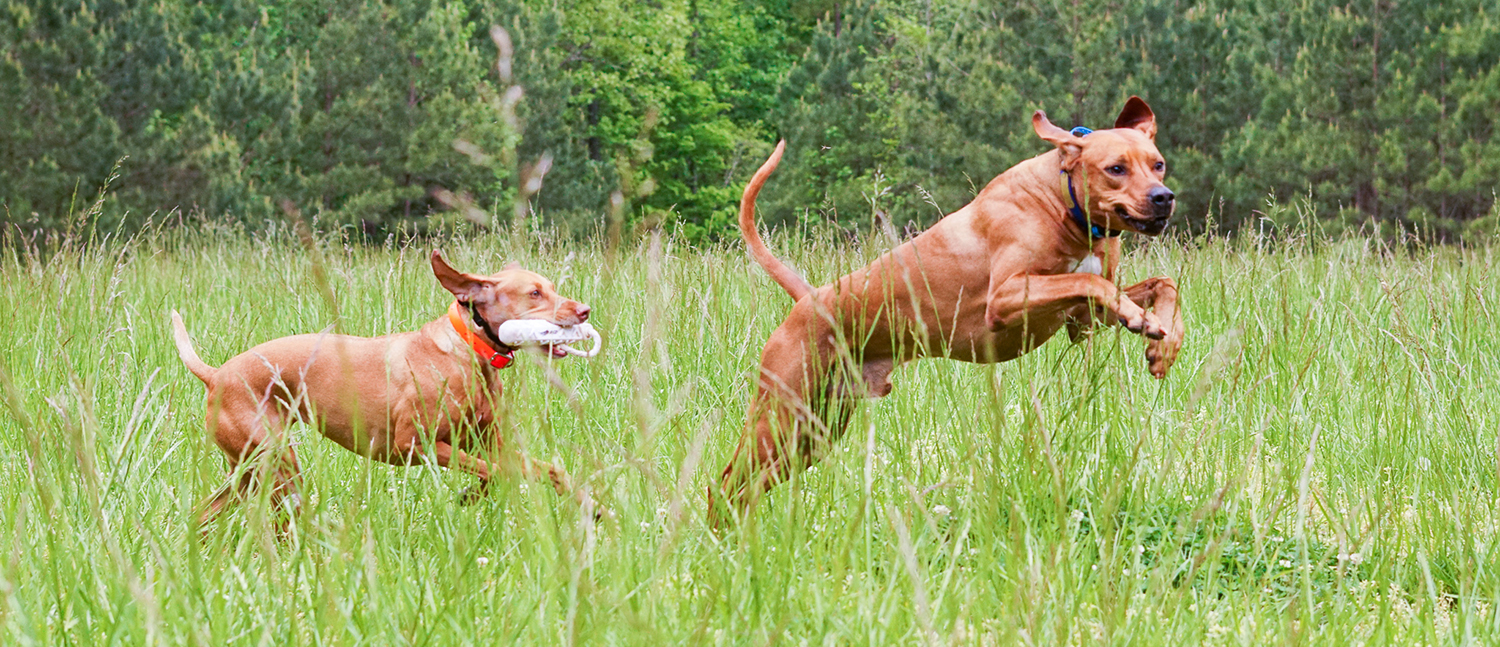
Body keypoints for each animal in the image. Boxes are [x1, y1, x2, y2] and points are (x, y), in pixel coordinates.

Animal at [172, 249, 594, 528]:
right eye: (535, 293)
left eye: (552, 287)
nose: (585, 310)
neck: (467, 350)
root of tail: (216, 374)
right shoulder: (414, 445)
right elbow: (493, 470)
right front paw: (471, 494)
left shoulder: (491, 443)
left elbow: (542, 470)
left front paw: (591, 505)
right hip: (277, 465)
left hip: (249, 471)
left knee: (206, 512)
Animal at [711, 96, 1182, 525]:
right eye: (1116, 168)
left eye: (1157, 164)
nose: (1164, 198)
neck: (1062, 201)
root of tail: (809, 297)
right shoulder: (1005, 298)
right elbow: (1091, 281)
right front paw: (1143, 320)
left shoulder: (1082, 321)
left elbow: (1162, 283)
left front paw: (1165, 344)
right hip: (780, 413)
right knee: (727, 480)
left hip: (815, 431)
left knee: (749, 486)